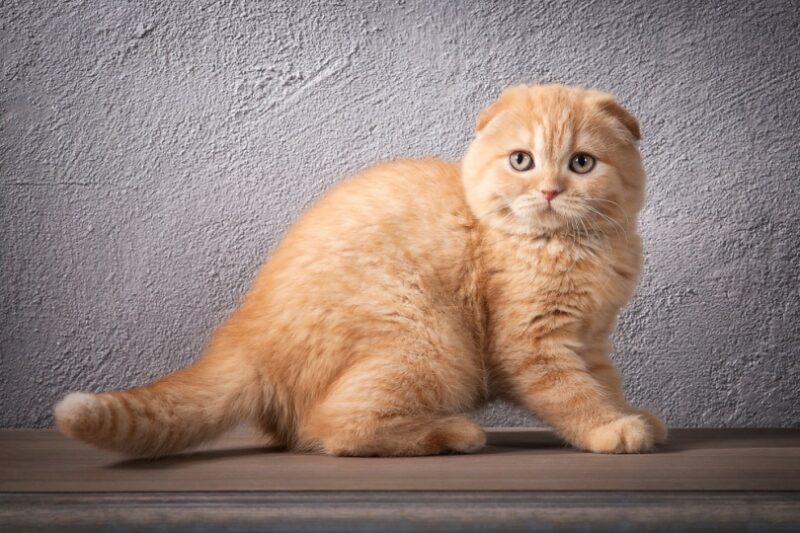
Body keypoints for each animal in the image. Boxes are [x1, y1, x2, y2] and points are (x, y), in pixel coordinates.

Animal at [53, 84, 668, 458]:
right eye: (522, 160)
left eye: (581, 163)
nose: (549, 191)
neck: (570, 246)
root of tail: (245, 337)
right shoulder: (532, 344)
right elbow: (571, 394)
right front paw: (608, 429)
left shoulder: (591, 337)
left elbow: (603, 382)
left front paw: (629, 413)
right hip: (429, 342)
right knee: (332, 429)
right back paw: (451, 433)